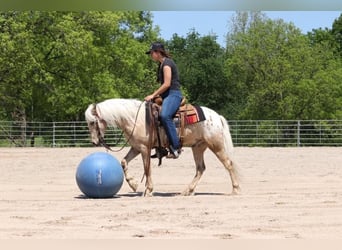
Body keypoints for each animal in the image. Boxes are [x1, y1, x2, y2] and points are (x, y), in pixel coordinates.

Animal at [85, 98, 240, 197]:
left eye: (92, 122)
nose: (94, 142)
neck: (135, 118)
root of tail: (217, 116)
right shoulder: (136, 147)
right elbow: (123, 162)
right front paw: (133, 184)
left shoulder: (144, 148)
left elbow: (147, 169)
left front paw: (148, 190)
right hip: (198, 147)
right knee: (200, 169)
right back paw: (187, 191)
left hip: (216, 145)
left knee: (229, 164)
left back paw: (235, 190)